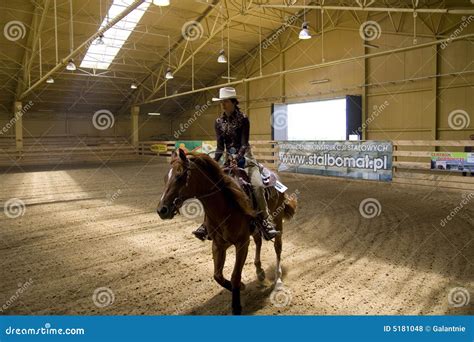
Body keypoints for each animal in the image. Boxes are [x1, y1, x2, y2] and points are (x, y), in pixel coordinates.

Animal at [157, 148, 294, 314]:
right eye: (165, 178)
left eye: (180, 176)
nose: (162, 210)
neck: (224, 207)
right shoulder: (218, 244)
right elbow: (217, 275)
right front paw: (241, 286)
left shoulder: (242, 243)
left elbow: (235, 275)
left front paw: (236, 305)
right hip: (255, 230)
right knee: (258, 242)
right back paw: (259, 271)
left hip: (278, 220)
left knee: (277, 248)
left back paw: (278, 279)